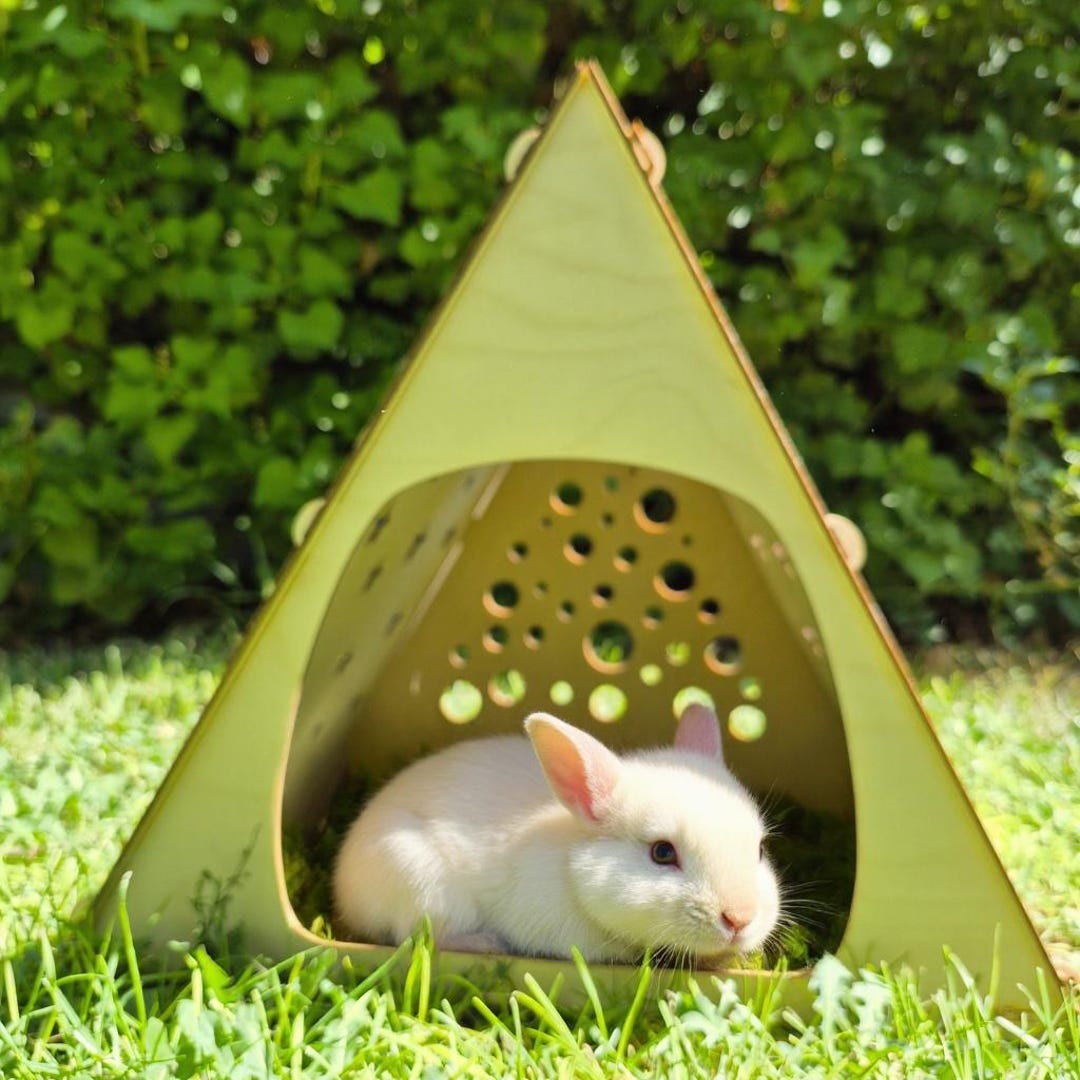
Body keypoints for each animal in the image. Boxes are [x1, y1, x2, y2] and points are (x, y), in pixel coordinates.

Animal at [332, 702, 781, 964]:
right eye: (662, 853)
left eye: (759, 849)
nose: (740, 918)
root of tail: (343, 886)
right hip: (421, 884)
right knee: (421, 937)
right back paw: (487, 944)